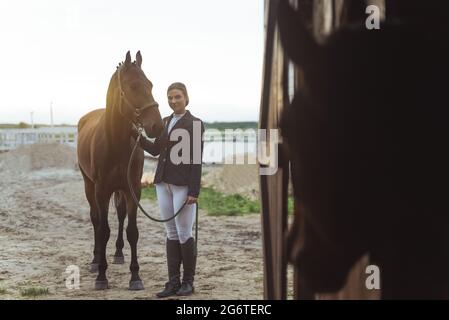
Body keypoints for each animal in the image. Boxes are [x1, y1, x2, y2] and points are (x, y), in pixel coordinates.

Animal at [78, 50, 164, 290]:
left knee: (120, 215)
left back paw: (117, 254)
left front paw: (135, 277)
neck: (115, 142)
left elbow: (132, 231)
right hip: (89, 186)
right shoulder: (101, 191)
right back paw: (95, 260)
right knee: (96, 220)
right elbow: (103, 230)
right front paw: (101, 276)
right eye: (134, 86)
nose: (158, 126)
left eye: (151, 84)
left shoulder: (133, 188)